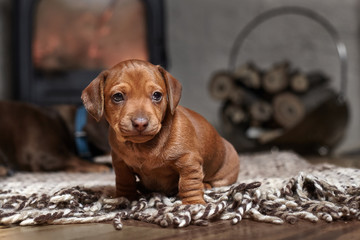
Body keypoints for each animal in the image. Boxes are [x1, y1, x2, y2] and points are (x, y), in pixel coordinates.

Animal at [81, 59, 239, 203]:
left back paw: (205, 185)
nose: (140, 123)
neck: (142, 147)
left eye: (157, 95)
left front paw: (194, 204)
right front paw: (124, 199)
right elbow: (124, 181)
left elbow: (189, 185)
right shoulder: (121, 164)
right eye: (118, 96)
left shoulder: (188, 162)